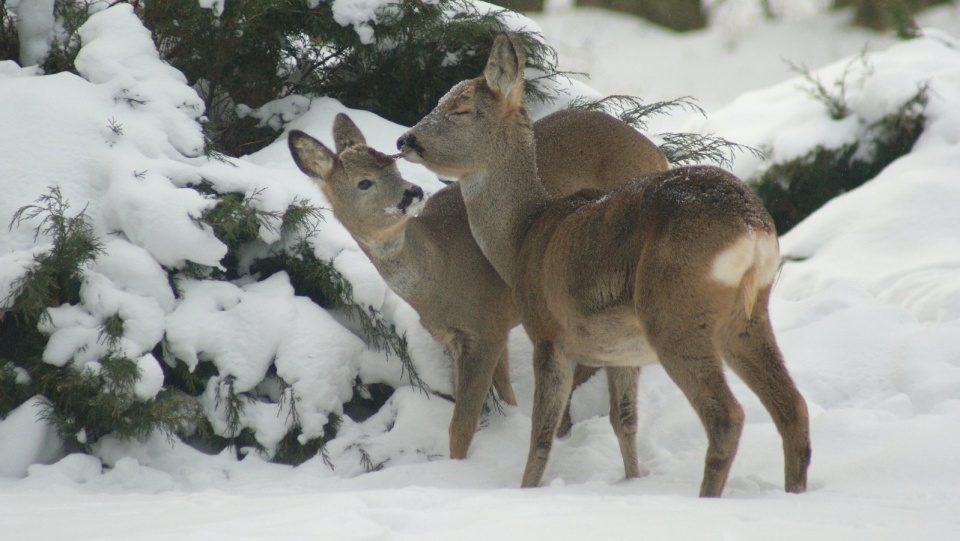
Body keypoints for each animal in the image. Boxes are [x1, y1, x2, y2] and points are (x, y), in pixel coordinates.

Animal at [288, 108, 672, 460]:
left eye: (393, 168)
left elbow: (462, 425)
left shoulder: (485, 327)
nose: (413, 191)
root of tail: (658, 154)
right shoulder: (474, 333)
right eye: (364, 182)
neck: (437, 273)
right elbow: (504, 396)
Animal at [398, 34, 808, 498]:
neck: (523, 235)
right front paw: (631, 480)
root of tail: (752, 225)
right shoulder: (620, 350)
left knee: (727, 416)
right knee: (792, 406)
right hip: (747, 316)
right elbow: (624, 419)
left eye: (460, 109)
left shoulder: (549, 332)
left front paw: (527, 490)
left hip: (675, 313)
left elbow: (542, 433)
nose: (404, 139)